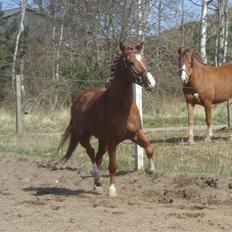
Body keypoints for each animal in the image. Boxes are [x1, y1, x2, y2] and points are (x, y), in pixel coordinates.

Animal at [58, 41, 156, 196]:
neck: (122, 107)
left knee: (98, 156)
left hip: (102, 141)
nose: (151, 83)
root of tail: (78, 100)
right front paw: (112, 190)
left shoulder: (136, 133)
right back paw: (98, 180)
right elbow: (113, 165)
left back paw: (96, 185)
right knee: (92, 153)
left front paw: (150, 170)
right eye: (130, 62)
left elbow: (149, 148)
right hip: (83, 136)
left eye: (144, 60)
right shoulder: (112, 141)